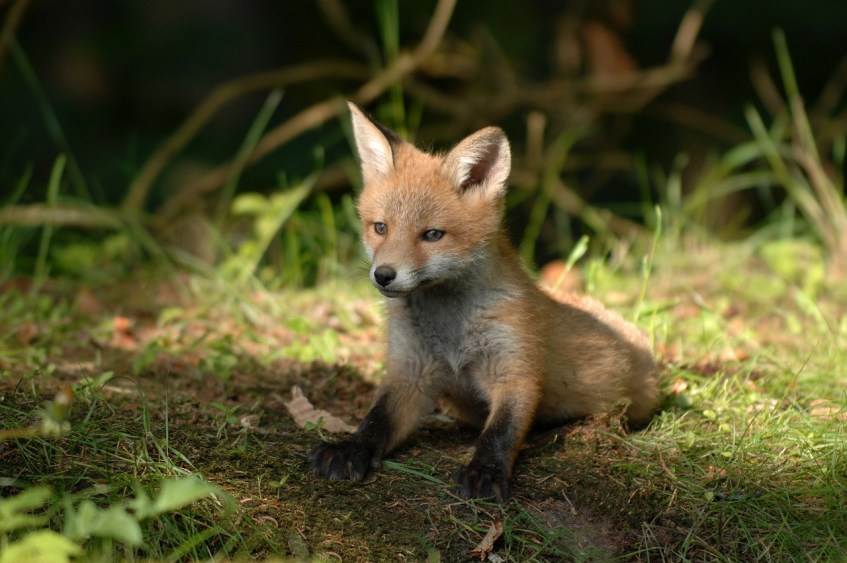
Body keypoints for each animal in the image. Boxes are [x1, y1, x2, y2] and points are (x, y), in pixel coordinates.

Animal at [308, 102, 659, 502]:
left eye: (432, 235)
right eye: (380, 228)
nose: (383, 275)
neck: (451, 327)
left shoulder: (515, 369)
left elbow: (500, 431)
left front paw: (486, 472)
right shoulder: (411, 371)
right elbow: (376, 419)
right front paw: (350, 448)